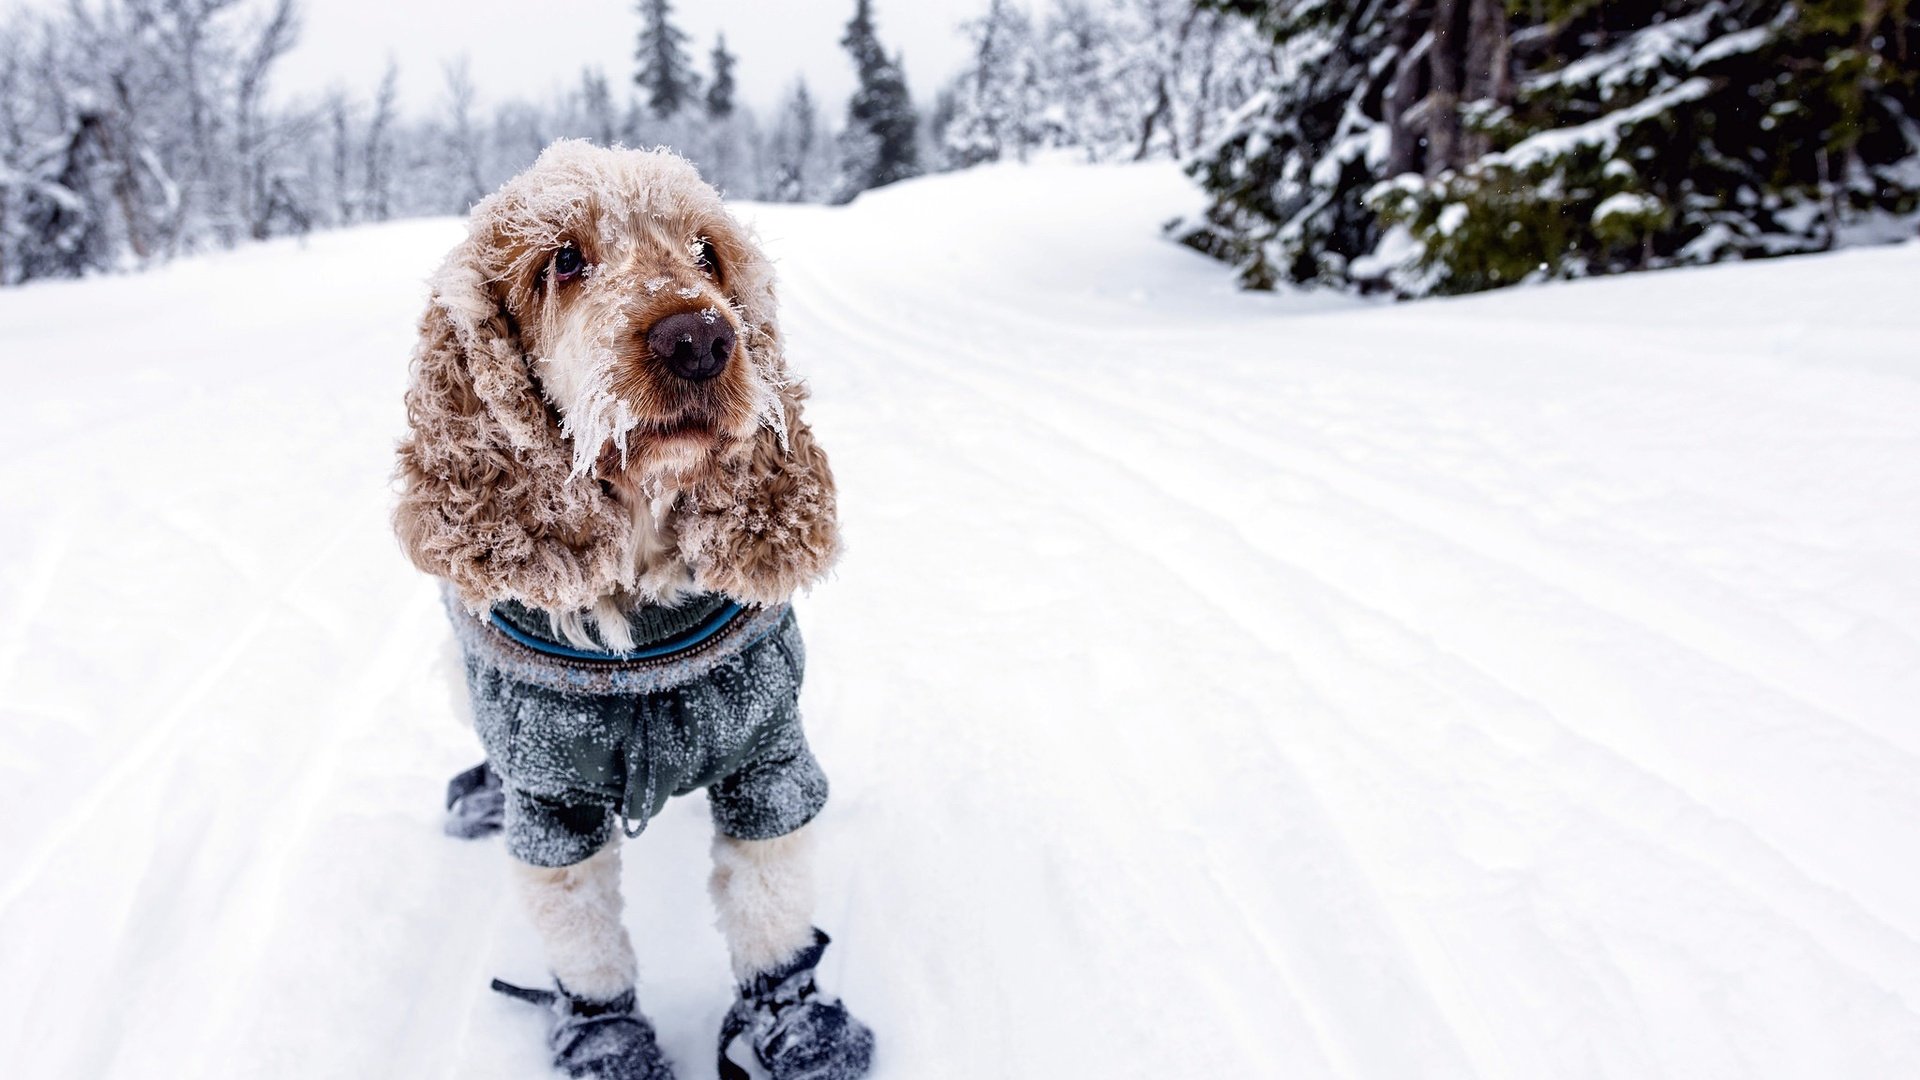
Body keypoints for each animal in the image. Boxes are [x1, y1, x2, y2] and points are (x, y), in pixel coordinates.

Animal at [393, 141, 875, 1076]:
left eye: (706, 253)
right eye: (562, 260)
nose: (701, 338)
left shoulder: (767, 757)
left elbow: (770, 910)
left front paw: (795, 1022)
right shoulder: (554, 805)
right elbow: (585, 946)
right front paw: (606, 1037)